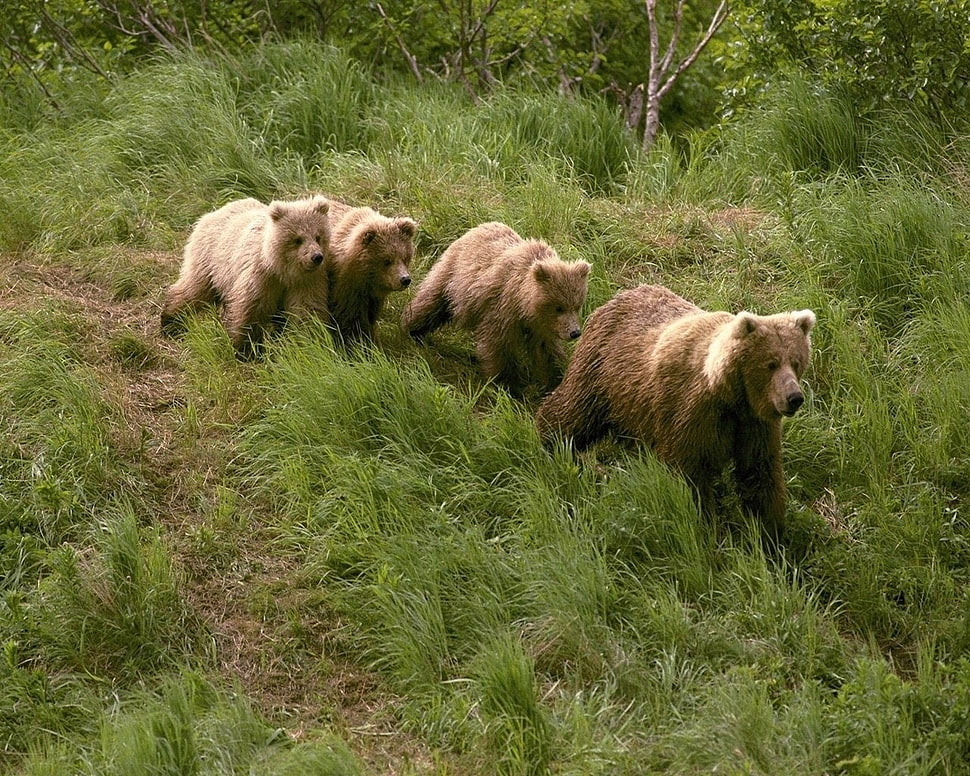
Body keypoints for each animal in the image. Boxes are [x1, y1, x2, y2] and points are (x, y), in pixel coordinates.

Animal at [160, 195, 331, 358]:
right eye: (297, 239)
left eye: (318, 236)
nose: (316, 257)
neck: (283, 270)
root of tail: (214, 212)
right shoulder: (261, 276)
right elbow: (250, 310)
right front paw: (247, 351)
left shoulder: (306, 282)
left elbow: (306, 311)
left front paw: (310, 344)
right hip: (210, 261)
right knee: (194, 290)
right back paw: (170, 322)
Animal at [323, 199, 418, 347]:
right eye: (387, 260)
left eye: (405, 257)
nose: (405, 279)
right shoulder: (346, 286)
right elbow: (350, 317)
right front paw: (357, 340)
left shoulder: (372, 296)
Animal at [401, 221, 591, 398]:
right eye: (559, 307)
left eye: (577, 305)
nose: (575, 332)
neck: (525, 305)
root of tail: (478, 227)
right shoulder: (503, 307)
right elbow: (497, 345)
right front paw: (508, 386)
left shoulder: (541, 327)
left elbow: (546, 352)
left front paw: (555, 381)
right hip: (453, 276)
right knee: (432, 301)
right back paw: (411, 329)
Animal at [535, 284, 816, 541]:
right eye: (770, 363)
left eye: (796, 361)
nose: (794, 397)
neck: (729, 396)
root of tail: (616, 297)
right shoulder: (691, 414)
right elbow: (689, 476)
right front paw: (704, 525)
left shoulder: (753, 425)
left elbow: (760, 474)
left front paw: (770, 535)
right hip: (601, 375)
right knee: (572, 413)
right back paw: (552, 442)